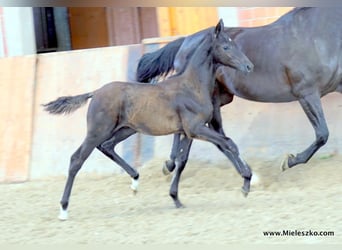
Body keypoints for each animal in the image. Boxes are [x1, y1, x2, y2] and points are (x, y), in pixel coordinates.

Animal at [136, 7, 342, 172]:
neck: (319, 34)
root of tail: (185, 41)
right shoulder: (307, 93)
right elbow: (322, 134)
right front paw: (289, 161)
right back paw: (172, 164)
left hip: (220, 98)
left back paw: (173, 164)